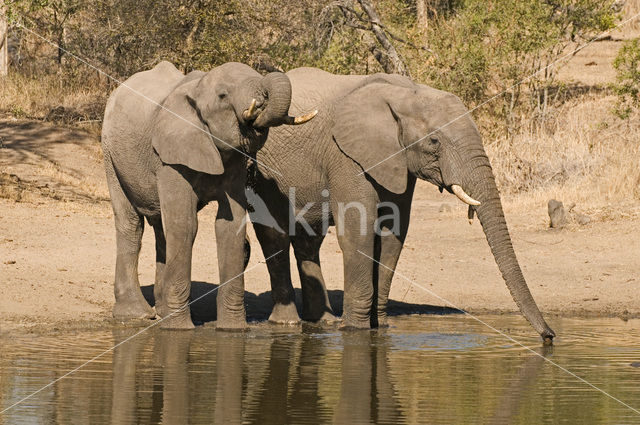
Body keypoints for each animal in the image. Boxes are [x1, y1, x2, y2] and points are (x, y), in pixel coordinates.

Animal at [100, 61, 318, 330]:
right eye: (223, 96)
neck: (197, 89)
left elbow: (228, 226)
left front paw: (232, 330)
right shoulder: (171, 155)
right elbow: (185, 225)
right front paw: (178, 329)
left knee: (161, 228)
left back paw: (161, 311)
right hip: (110, 152)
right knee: (131, 223)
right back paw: (137, 315)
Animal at [250, 67, 556, 344]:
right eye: (434, 140)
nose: (550, 336)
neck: (406, 94)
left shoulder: (399, 161)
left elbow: (393, 234)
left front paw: (380, 328)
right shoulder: (346, 157)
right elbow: (357, 234)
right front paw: (355, 331)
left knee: (308, 239)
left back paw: (322, 322)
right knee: (274, 236)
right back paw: (287, 323)